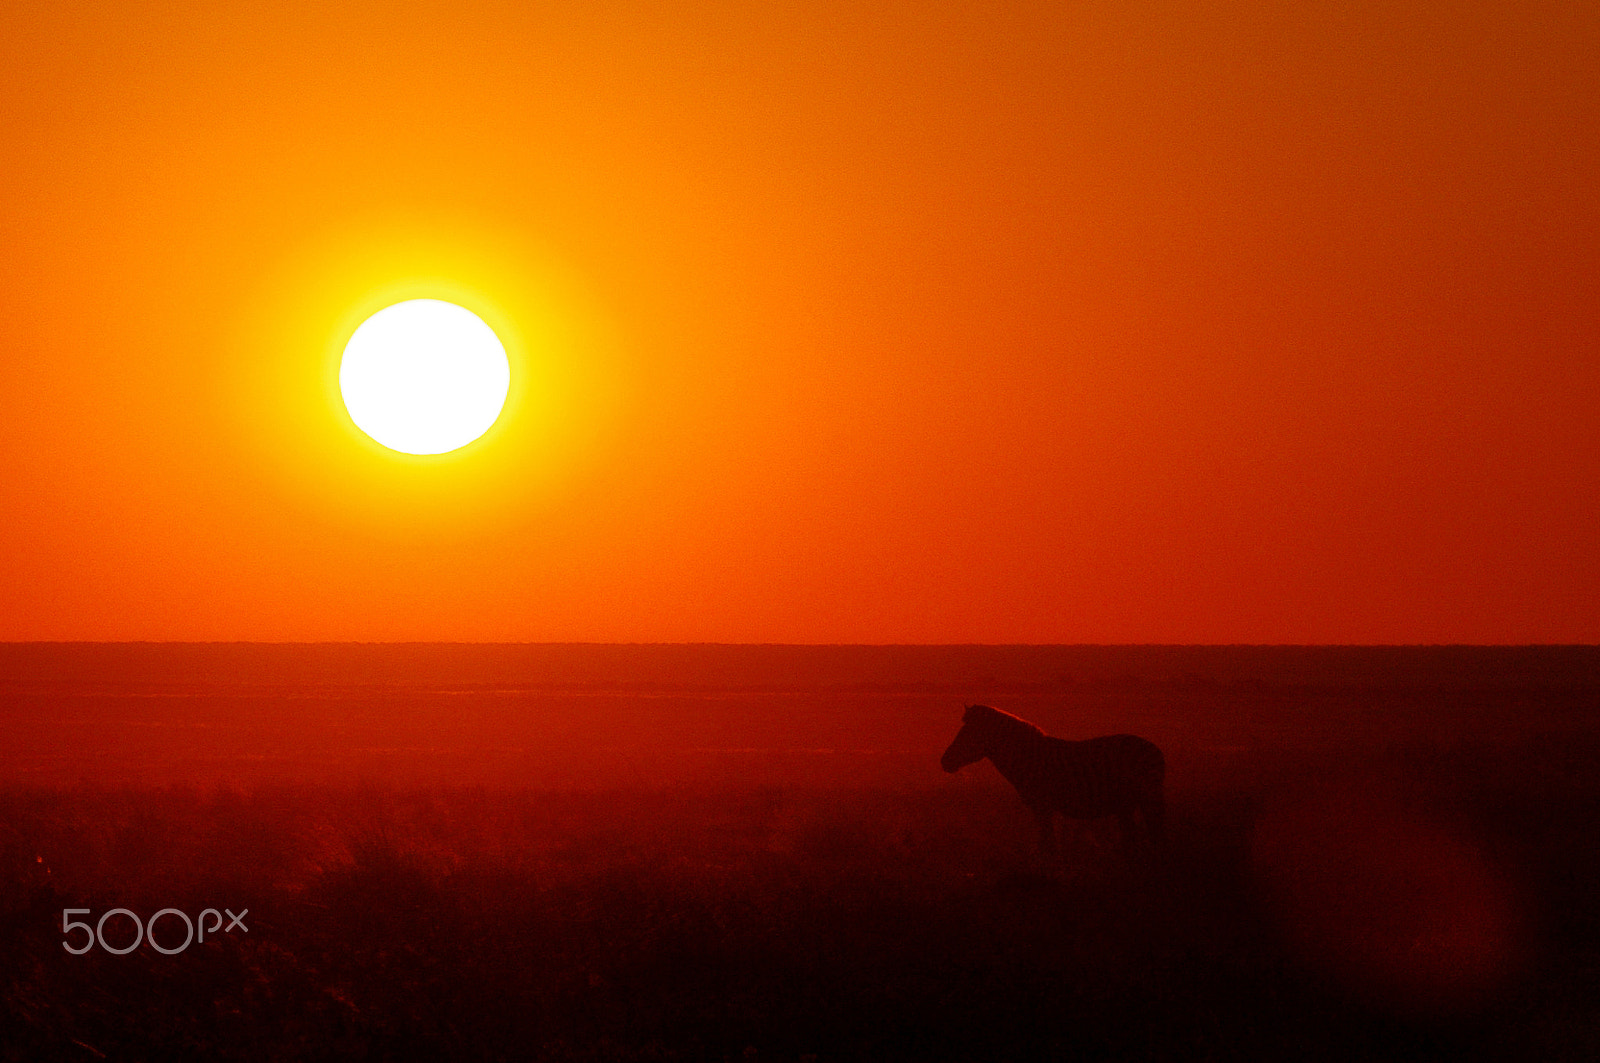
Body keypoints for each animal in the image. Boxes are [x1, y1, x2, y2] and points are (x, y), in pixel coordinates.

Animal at [941, 704, 1165, 859]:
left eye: (967, 734)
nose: (944, 762)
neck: (1025, 757)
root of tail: (1155, 749)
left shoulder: (1042, 806)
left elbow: (1048, 844)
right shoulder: (1042, 808)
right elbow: (1046, 842)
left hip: (1147, 798)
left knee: (1154, 834)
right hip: (1127, 804)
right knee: (1135, 838)